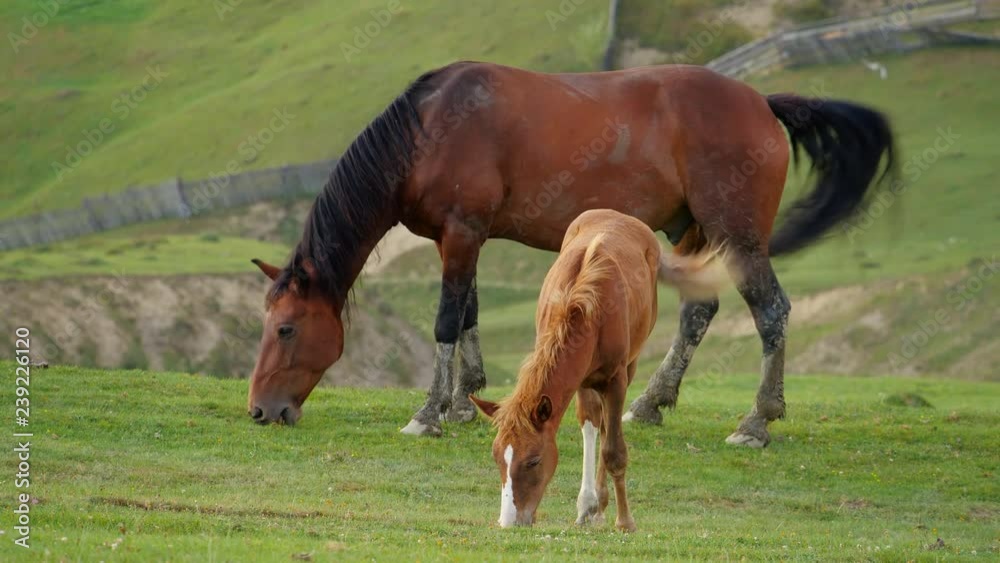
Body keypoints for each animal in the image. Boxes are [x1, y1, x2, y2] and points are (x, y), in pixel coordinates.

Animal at [247, 61, 896, 445]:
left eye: (285, 329)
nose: (259, 410)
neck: (431, 129)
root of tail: (760, 101)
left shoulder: (461, 233)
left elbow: (446, 321)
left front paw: (429, 412)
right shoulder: (463, 238)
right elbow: (470, 313)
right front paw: (464, 402)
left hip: (738, 237)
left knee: (771, 312)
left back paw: (757, 419)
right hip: (691, 234)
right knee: (698, 313)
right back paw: (652, 402)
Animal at [469, 208, 730, 530]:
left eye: (533, 460)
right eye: (497, 458)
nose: (508, 522)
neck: (582, 307)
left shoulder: (616, 379)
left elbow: (614, 450)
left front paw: (625, 521)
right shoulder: (579, 379)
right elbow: (591, 426)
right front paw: (586, 507)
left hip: (629, 367)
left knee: (610, 427)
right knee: (599, 423)